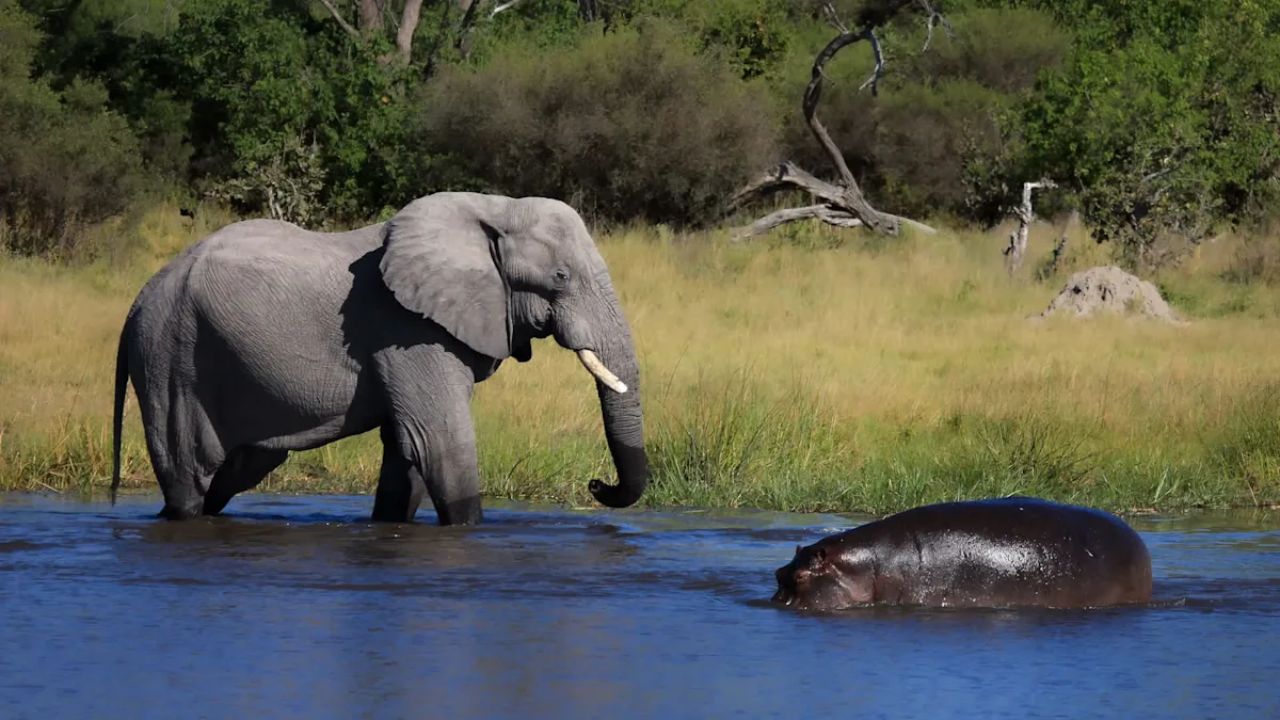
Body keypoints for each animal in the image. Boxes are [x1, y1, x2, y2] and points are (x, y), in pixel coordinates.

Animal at [109, 192, 649, 525]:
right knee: (188, 478)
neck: (494, 208)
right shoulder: (409, 329)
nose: (596, 484)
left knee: (236, 470)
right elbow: (437, 442)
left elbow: (405, 450)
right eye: (560, 277)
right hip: (169, 358)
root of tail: (137, 300)